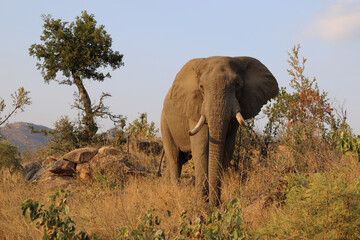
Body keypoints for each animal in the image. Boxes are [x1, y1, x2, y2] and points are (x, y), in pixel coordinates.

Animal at [161, 55, 278, 205]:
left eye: (237, 85)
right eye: (201, 86)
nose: (214, 203)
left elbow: (227, 147)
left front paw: (215, 203)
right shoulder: (196, 107)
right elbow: (201, 145)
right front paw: (201, 204)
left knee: (181, 159)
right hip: (165, 122)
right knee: (175, 158)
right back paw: (176, 190)